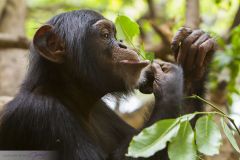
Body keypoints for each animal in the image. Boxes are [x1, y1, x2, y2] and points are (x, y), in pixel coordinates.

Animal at [0, 9, 216, 159]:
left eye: (115, 34)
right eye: (105, 35)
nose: (123, 44)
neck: (72, 97)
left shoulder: (103, 110)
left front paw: (192, 60)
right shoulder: (41, 113)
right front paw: (170, 80)